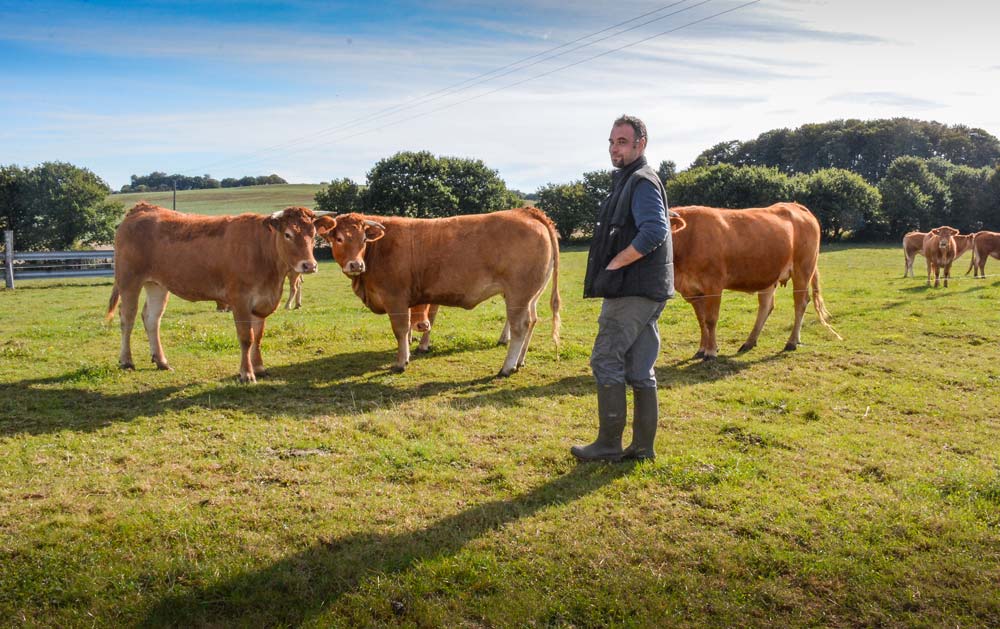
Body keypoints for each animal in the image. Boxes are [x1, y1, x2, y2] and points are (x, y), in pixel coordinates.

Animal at [106, 202, 320, 383]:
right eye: (288, 234)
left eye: (313, 234)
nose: (309, 265)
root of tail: (142, 208)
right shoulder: (240, 300)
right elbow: (246, 337)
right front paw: (246, 373)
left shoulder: (262, 301)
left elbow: (258, 337)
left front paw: (259, 368)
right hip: (129, 280)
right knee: (127, 318)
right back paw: (126, 361)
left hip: (157, 285)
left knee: (152, 318)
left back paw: (161, 361)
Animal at [314, 207, 560, 376]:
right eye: (338, 239)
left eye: (364, 238)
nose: (356, 265)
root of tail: (526, 211)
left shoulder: (396, 298)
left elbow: (401, 330)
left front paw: (401, 362)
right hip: (531, 295)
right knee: (532, 321)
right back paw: (519, 361)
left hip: (518, 294)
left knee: (520, 326)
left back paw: (507, 367)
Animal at [669, 202, 841, 360]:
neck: (688, 239)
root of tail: (796, 205)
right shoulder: (692, 290)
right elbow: (701, 320)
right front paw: (702, 349)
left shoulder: (714, 285)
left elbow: (711, 319)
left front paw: (711, 352)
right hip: (770, 274)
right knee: (766, 306)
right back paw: (749, 342)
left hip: (803, 269)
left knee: (801, 303)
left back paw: (791, 342)